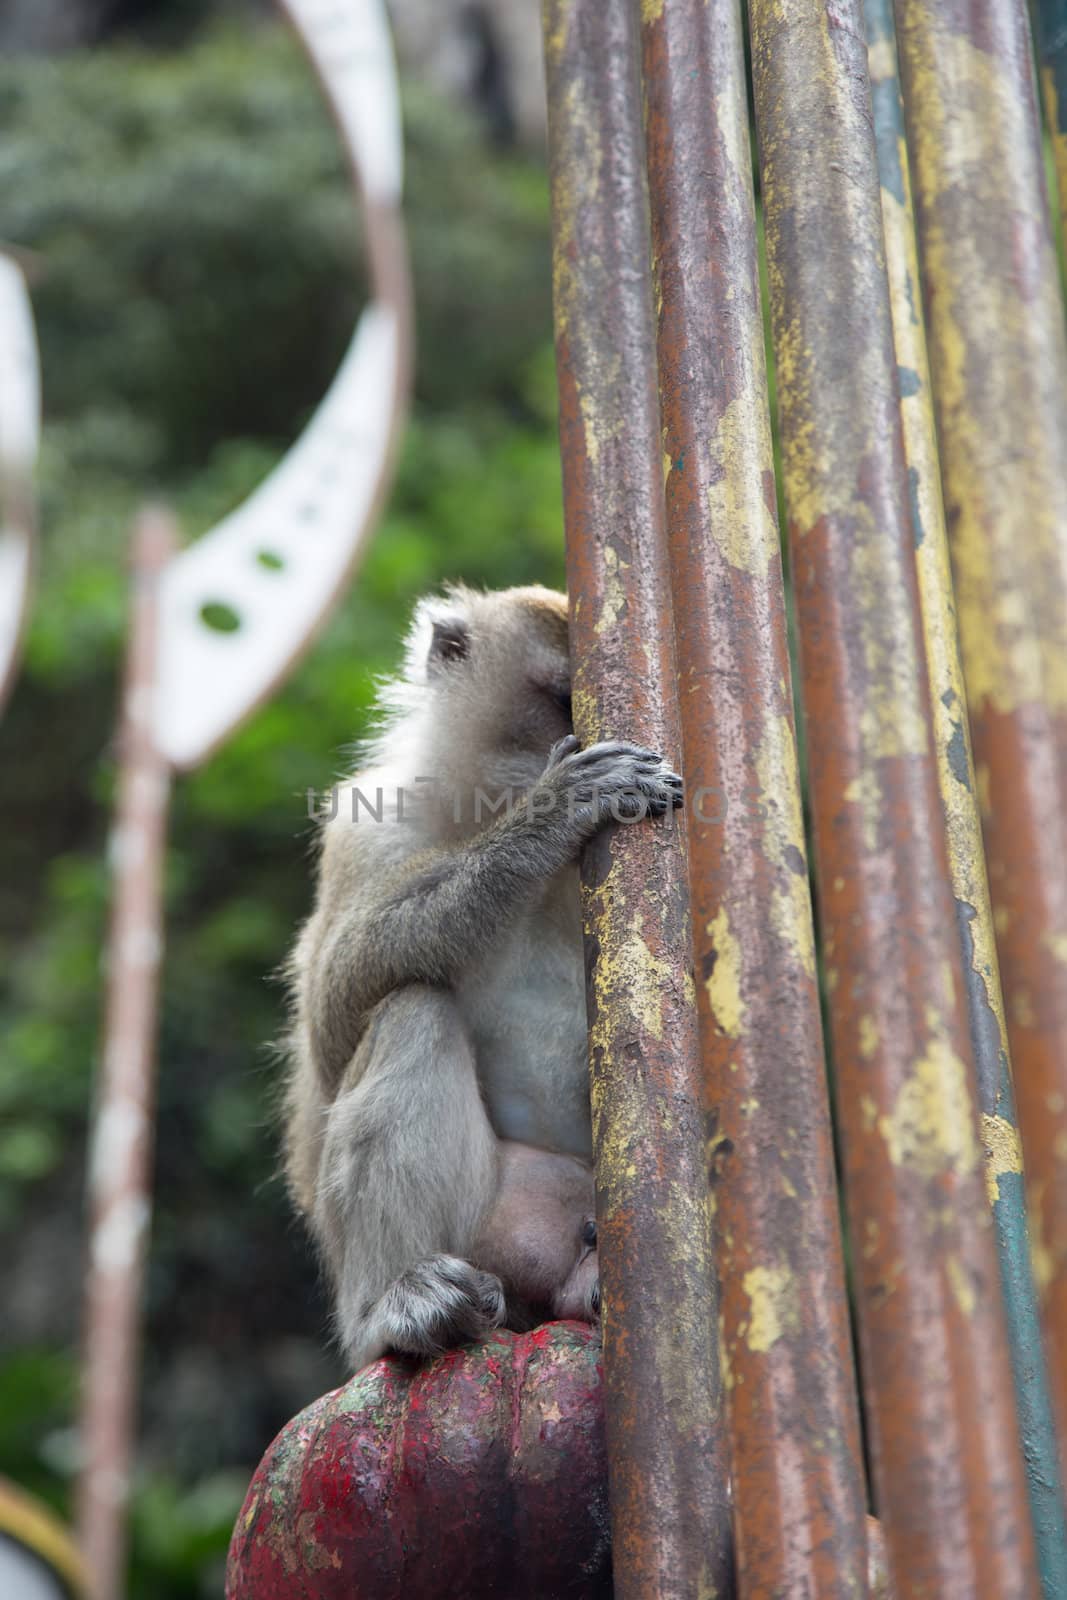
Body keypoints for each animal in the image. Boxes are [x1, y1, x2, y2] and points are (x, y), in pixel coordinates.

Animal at [286, 582, 684, 1369]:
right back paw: (397, 1309)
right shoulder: (369, 828)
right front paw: (547, 818)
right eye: (562, 700)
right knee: (412, 1007)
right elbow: (332, 1016)